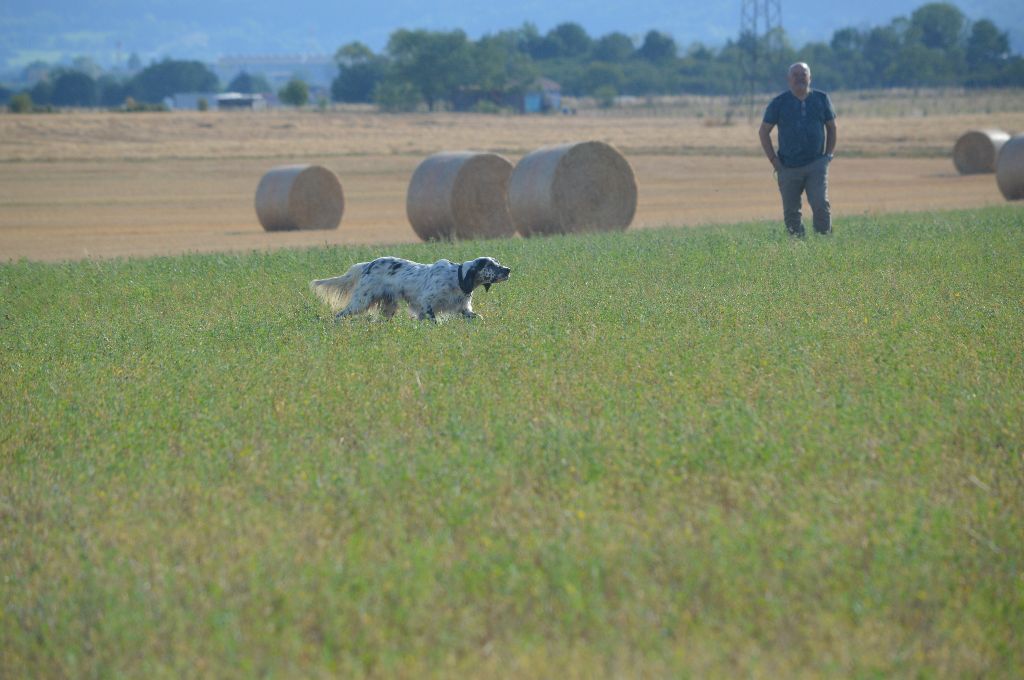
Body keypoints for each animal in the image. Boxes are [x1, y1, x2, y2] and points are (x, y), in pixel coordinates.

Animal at [307, 256, 507, 323]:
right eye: (491, 265)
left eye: (498, 262)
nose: (508, 269)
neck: (457, 278)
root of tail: (367, 264)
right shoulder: (426, 304)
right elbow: (433, 321)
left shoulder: (465, 309)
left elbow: (477, 317)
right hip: (361, 301)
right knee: (339, 314)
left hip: (388, 306)